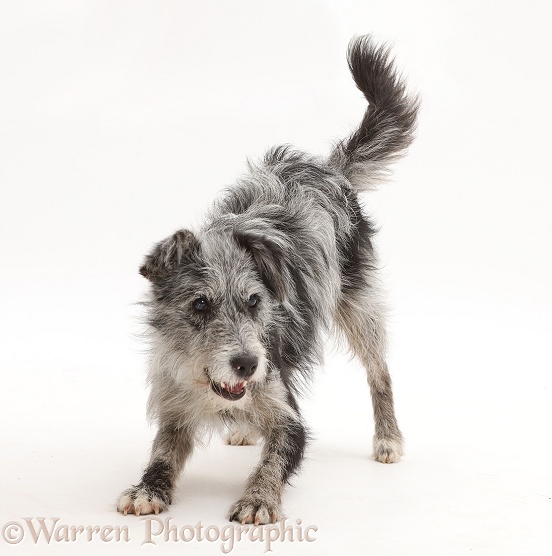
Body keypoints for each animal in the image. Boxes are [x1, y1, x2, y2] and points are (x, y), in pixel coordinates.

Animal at [116, 35, 418, 524]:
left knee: (381, 372)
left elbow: (276, 457)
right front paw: (148, 487)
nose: (246, 364)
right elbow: (162, 452)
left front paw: (258, 497)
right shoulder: (174, 407)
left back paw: (388, 437)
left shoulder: (287, 412)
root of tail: (326, 168)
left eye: (255, 302)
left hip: (360, 307)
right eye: (200, 304)